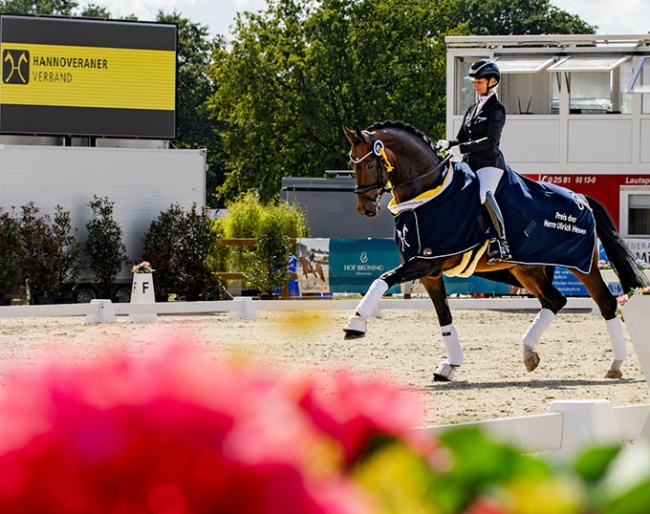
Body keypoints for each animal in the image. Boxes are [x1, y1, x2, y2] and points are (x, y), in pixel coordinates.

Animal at [342, 121, 644, 380]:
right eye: (351, 163)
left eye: (370, 162)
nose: (365, 209)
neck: (427, 194)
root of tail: (581, 198)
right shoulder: (430, 271)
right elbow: (444, 316)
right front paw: (450, 366)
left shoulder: (427, 262)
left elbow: (382, 279)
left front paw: (355, 323)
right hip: (526, 269)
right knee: (554, 300)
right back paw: (529, 353)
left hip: (581, 263)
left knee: (605, 302)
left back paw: (615, 364)